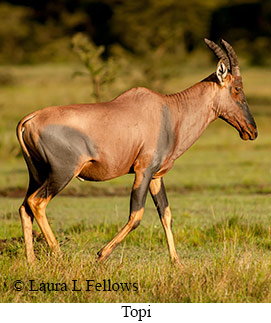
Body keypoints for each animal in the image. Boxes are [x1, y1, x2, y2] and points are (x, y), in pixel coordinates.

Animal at [17, 39, 260, 264]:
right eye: (237, 89)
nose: (252, 131)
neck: (170, 111)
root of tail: (30, 119)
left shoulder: (155, 176)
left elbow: (166, 214)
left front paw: (177, 263)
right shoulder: (143, 170)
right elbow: (136, 215)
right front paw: (101, 254)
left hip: (37, 175)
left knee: (24, 207)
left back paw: (31, 261)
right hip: (62, 174)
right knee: (37, 203)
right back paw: (59, 256)